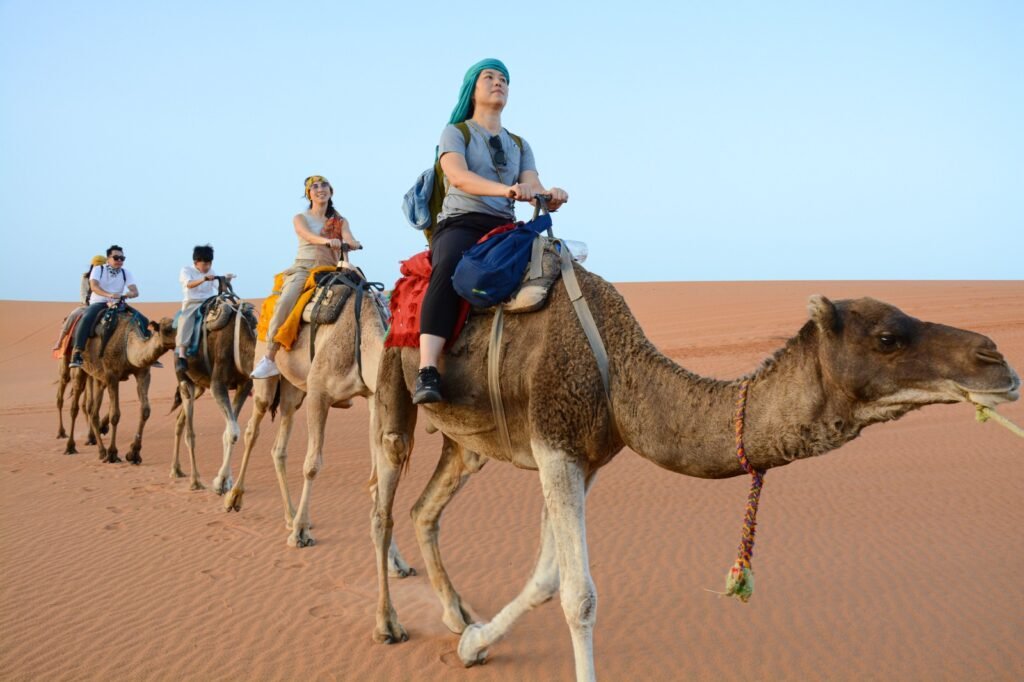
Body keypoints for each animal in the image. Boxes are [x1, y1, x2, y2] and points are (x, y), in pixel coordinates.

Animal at [65, 311, 176, 464]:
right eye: (167, 330)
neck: (127, 345)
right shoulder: (112, 376)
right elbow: (115, 415)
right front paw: (113, 454)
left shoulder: (143, 373)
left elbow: (145, 411)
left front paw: (134, 453)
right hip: (80, 369)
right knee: (74, 407)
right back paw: (71, 447)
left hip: (99, 378)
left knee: (93, 412)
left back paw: (101, 451)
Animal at [168, 278, 254, 491]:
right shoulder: (218, 384)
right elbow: (233, 432)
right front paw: (220, 482)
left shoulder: (244, 385)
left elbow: (230, 431)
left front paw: (225, 480)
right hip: (184, 380)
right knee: (190, 431)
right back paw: (195, 480)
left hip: (199, 385)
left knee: (179, 421)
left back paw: (176, 469)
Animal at [225, 266, 415, 573]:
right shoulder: (319, 392)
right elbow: (312, 464)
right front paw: (301, 534)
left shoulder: (372, 397)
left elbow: (375, 475)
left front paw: (396, 560)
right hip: (267, 373)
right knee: (253, 429)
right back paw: (234, 498)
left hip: (293, 391)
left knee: (279, 447)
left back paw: (289, 516)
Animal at [372, 264, 1019, 675]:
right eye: (887, 337)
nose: (997, 361)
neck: (621, 374)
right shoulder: (555, 442)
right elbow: (579, 596)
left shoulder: (584, 457)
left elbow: (547, 578)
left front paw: (474, 645)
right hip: (389, 385)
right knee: (384, 506)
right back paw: (388, 626)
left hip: (468, 442)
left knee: (426, 507)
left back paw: (455, 615)